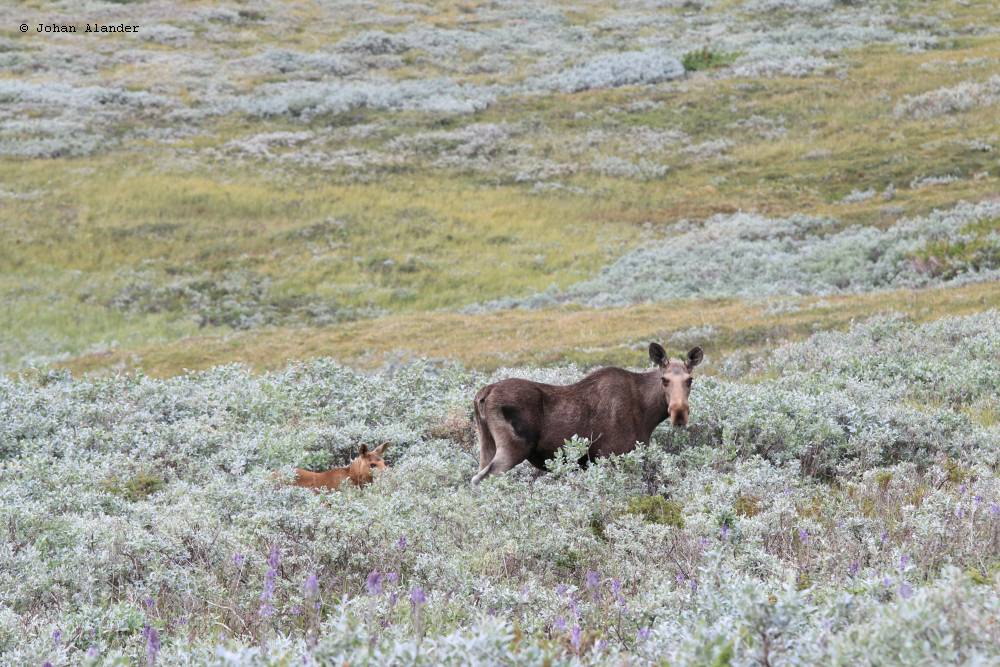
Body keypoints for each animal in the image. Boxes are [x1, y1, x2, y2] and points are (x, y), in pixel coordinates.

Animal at [470, 344, 700, 486]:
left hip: (487, 444)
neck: (647, 414)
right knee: (481, 478)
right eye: (664, 379)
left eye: (690, 380)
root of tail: (483, 394)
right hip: (513, 448)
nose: (679, 413)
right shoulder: (610, 454)